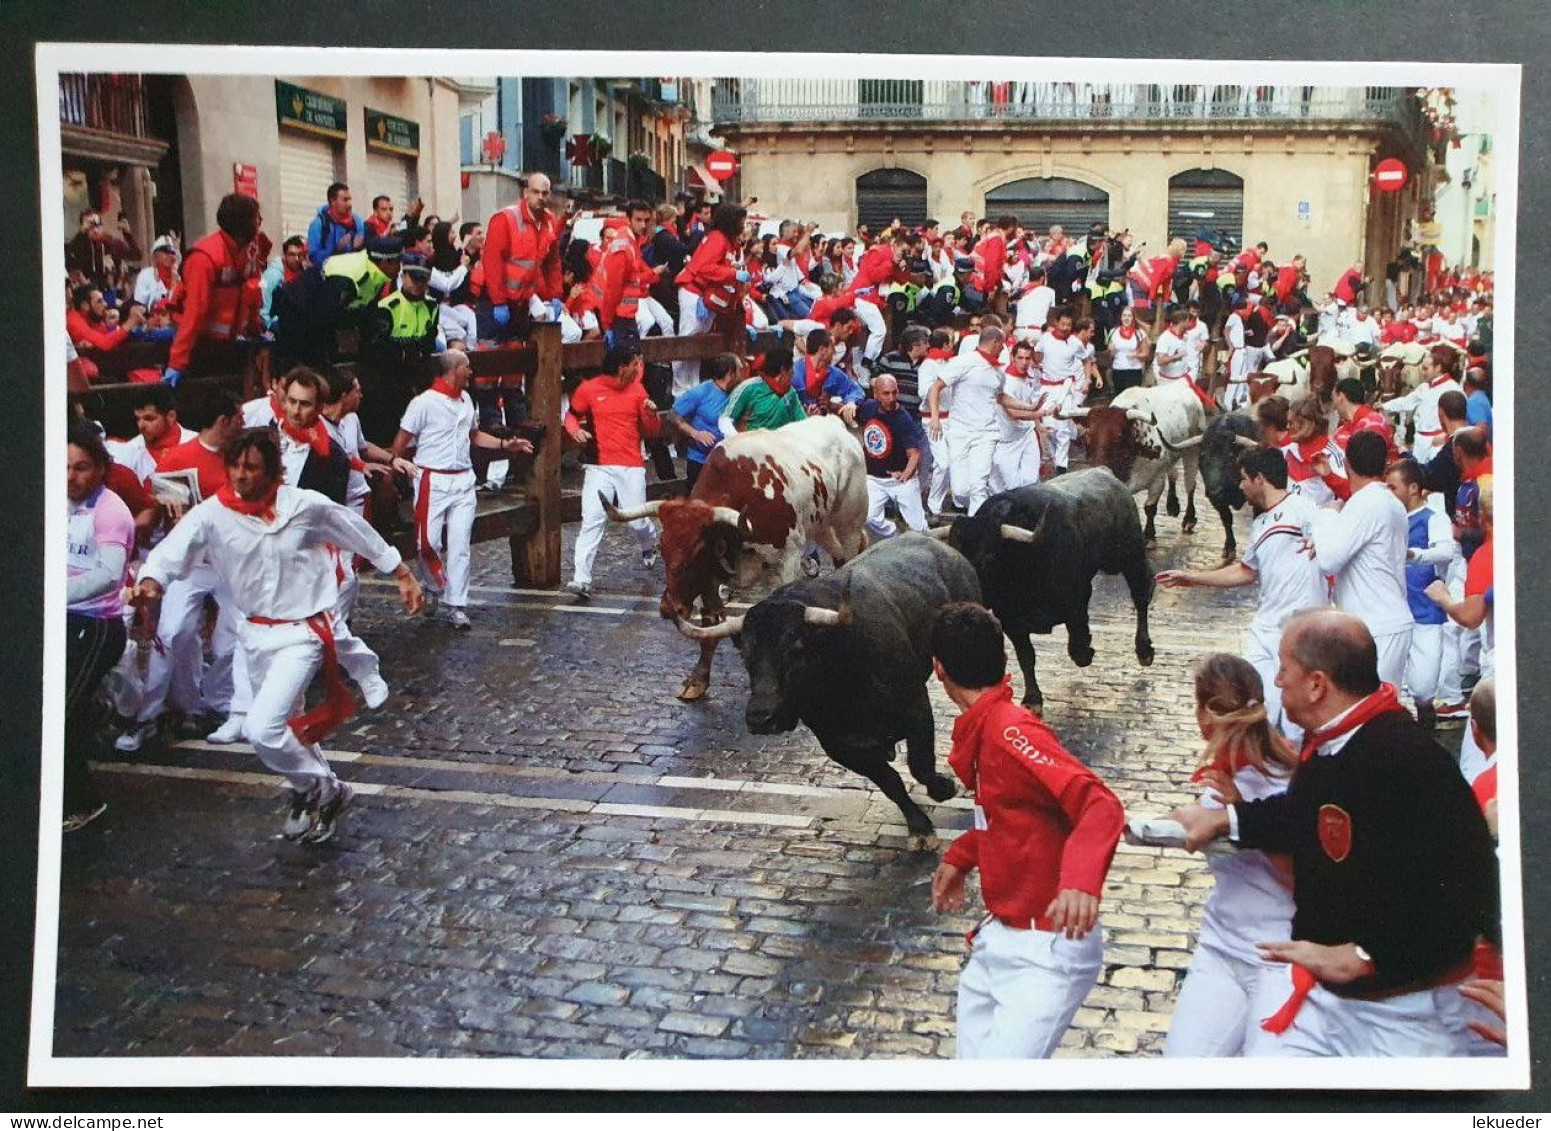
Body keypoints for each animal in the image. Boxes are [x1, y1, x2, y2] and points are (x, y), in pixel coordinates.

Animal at [673, 530, 974, 837]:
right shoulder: (839, 746)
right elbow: (891, 783)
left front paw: (943, 789)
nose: (760, 718)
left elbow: (919, 765)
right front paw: (918, 825)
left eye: (796, 648)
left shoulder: (917, 708)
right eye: (745, 653)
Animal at [943, 468, 1153, 713]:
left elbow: (1077, 646)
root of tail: (1106, 473)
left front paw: (1087, 650)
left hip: (1129, 555)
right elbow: (1027, 657)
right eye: (955, 555)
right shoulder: (1010, 620)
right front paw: (1032, 698)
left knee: (1141, 592)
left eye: (989, 557)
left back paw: (1144, 650)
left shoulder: (1076, 599)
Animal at [1067, 380, 1209, 546]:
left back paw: (1189, 518)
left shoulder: (1157, 479)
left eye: (1118, 437)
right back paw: (1172, 505)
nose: (1095, 470)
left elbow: (1150, 508)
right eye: (1087, 437)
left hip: (1192, 450)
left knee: (1190, 484)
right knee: (1174, 473)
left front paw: (1149, 536)